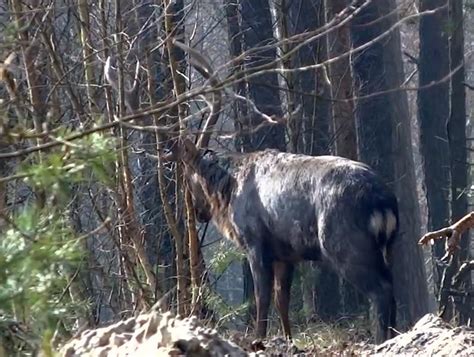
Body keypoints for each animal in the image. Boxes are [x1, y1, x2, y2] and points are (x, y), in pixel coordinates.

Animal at [105, 41, 398, 342]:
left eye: (188, 177)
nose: (198, 212)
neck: (228, 189)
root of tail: (383, 202)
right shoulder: (285, 253)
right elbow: (282, 300)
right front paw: (289, 340)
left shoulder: (255, 240)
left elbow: (262, 299)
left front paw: (258, 340)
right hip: (387, 245)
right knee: (392, 285)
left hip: (344, 241)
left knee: (381, 290)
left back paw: (381, 339)